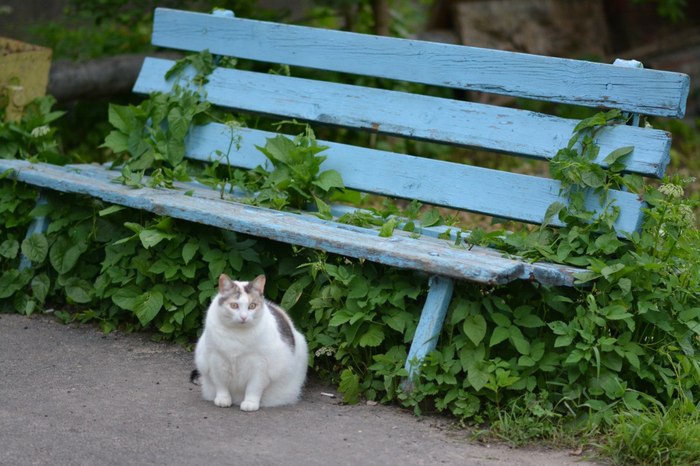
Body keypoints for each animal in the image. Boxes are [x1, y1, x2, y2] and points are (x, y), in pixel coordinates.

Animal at [190, 274, 308, 412]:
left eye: (252, 306)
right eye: (234, 305)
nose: (244, 317)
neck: (237, 336)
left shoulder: (260, 366)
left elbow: (253, 388)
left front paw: (250, 403)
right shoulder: (215, 360)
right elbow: (221, 384)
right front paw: (223, 399)